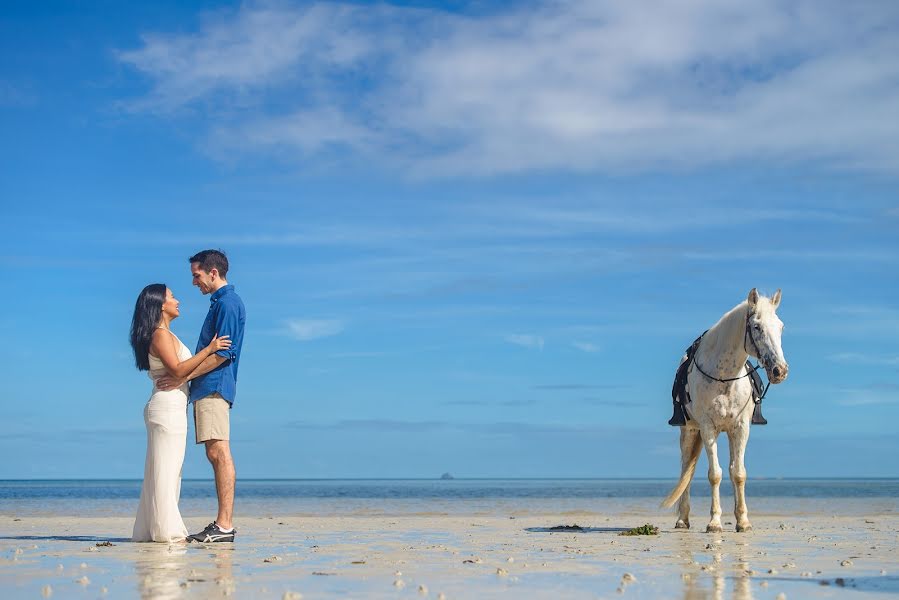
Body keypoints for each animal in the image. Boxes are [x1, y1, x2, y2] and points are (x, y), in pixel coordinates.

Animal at [660, 288, 788, 532]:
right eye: (756, 326)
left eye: (780, 326)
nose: (780, 370)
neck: (724, 376)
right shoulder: (707, 428)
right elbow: (715, 475)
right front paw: (714, 522)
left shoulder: (741, 428)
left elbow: (738, 473)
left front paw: (743, 521)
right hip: (689, 431)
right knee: (686, 469)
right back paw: (682, 519)